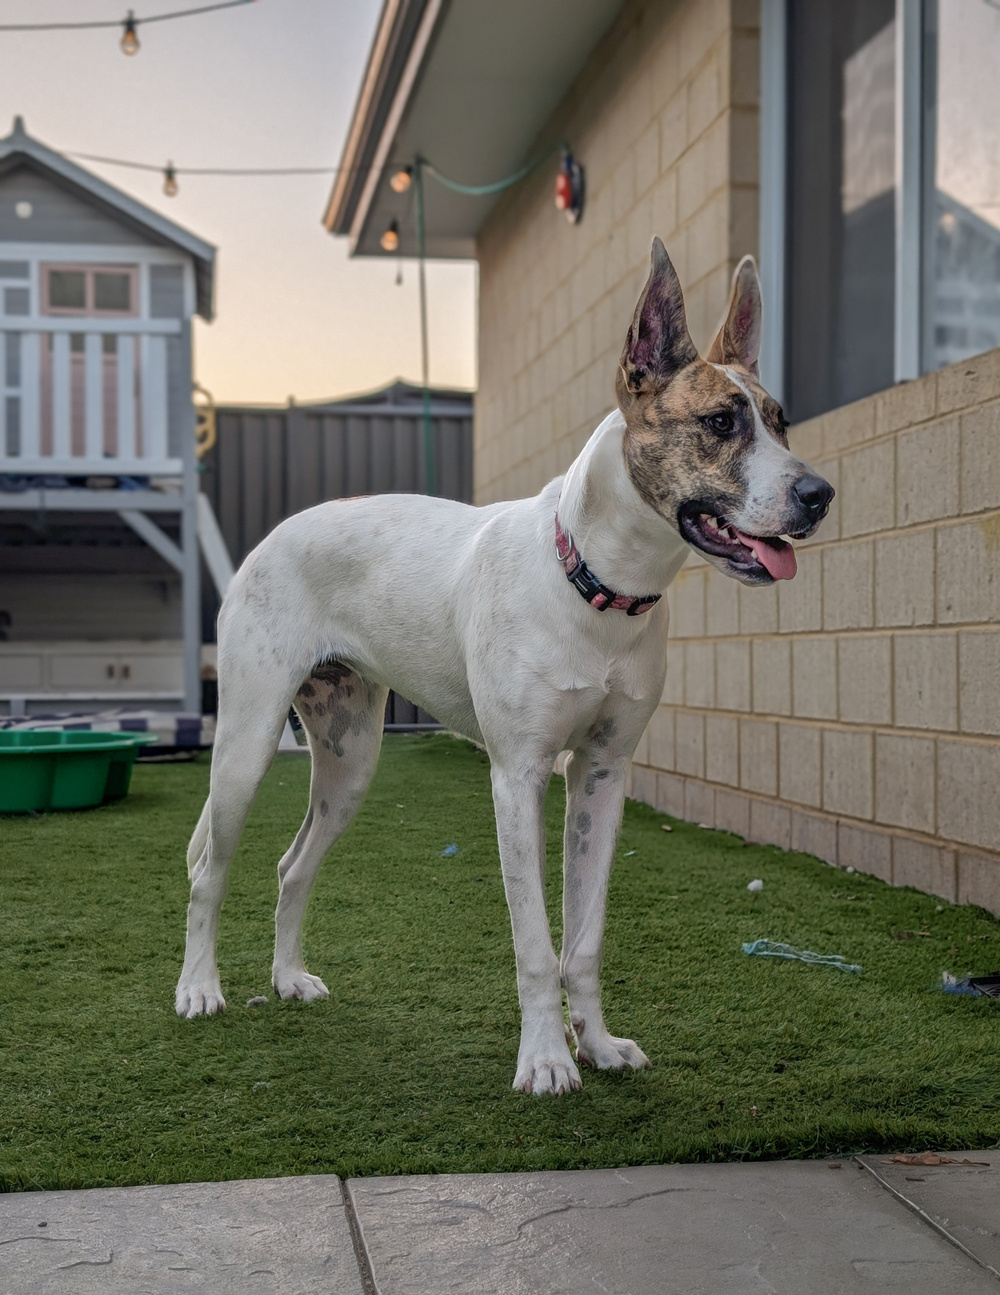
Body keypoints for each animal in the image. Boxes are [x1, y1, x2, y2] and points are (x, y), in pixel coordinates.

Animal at [176, 240, 834, 1092]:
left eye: (781, 423)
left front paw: (599, 1044)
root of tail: (274, 533)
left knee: (293, 866)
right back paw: (198, 988)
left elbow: (582, 939)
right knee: (208, 870)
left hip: (351, 762)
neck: (597, 585)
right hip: (246, 747)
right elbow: (534, 945)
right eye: (720, 422)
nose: (820, 493)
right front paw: (548, 1058)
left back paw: (288, 978)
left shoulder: (602, 776)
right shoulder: (517, 777)